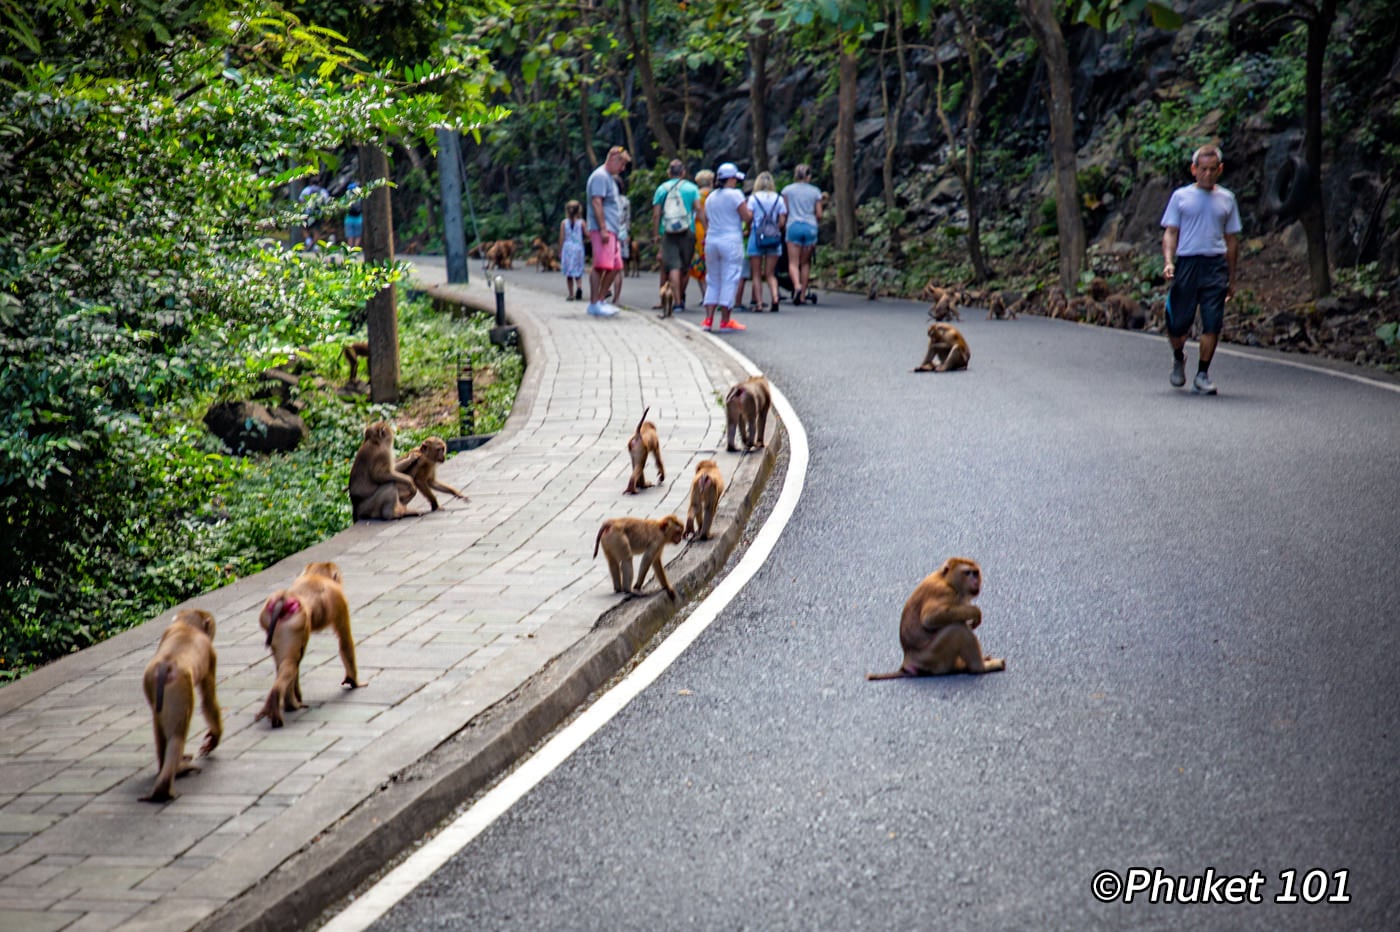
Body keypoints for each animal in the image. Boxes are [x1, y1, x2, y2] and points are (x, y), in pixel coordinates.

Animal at [141, 609, 222, 802]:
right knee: (178, 732)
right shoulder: (211, 655)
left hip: (151, 683)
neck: (187, 627)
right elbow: (208, 700)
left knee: (159, 726)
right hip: (180, 688)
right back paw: (174, 774)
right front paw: (215, 737)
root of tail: (166, 665)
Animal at [255, 561, 360, 728]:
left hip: (268, 619)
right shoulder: (340, 600)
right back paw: (289, 703)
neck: (315, 575)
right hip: (295, 624)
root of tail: (283, 599)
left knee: (285, 663)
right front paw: (353, 681)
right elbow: (345, 640)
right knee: (291, 663)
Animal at [867, 557, 1005, 680]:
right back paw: (980, 667)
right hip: (932, 657)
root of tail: (907, 662)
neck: (946, 580)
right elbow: (930, 618)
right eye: (967, 573)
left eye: (975, 573)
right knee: (958, 629)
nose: (976, 581)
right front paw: (975, 612)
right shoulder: (944, 592)